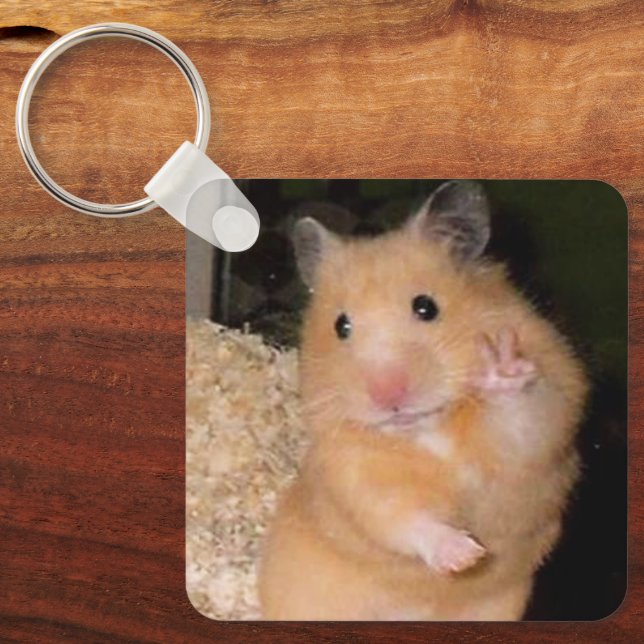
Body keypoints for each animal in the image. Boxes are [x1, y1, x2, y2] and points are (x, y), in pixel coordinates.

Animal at [258, 181, 588, 621]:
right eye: (341, 326)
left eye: (426, 307)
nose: (388, 395)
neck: (429, 429)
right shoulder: (353, 471)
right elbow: (400, 517)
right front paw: (465, 556)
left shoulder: (546, 424)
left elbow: (521, 419)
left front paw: (499, 366)